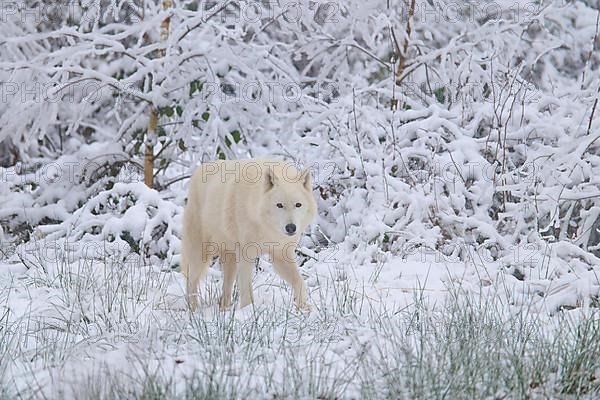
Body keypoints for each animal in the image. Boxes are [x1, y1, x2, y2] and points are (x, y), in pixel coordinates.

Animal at [179, 159, 316, 310]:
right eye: (279, 205)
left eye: (298, 205)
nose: (291, 228)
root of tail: (198, 170)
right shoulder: (246, 255)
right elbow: (246, 290)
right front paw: (247, 311)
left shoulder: (280, 255)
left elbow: (299, 281)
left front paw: (303, 308)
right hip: (200, 255)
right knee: (191, 282)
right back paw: (193, 309)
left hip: (230, 260)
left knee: (226, 287)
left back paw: (224, 309)